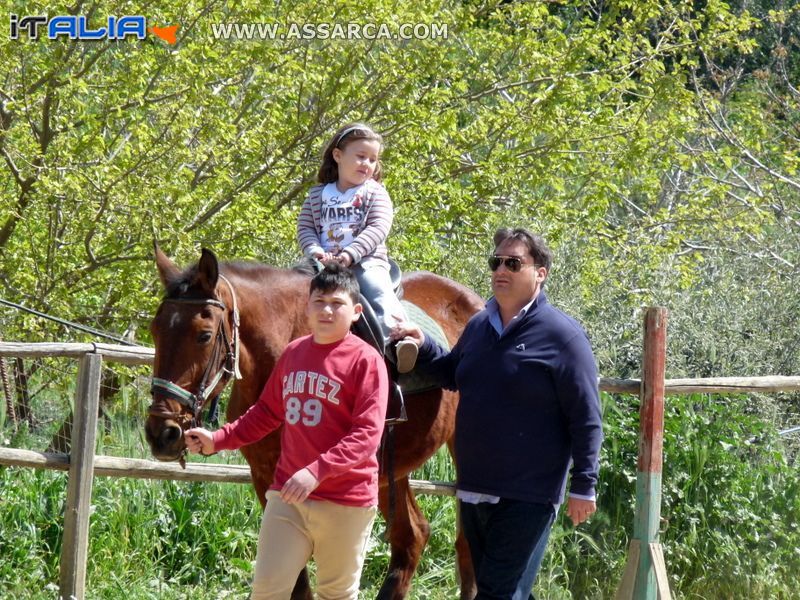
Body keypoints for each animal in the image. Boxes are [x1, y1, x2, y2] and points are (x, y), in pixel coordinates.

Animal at [143, 246, 482, 596]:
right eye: (155, 331)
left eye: (204, 335)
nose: (162, 433)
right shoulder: (266, 477)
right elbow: (295, 580)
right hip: (391, 469)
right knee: (412, 535)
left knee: (465, 543)